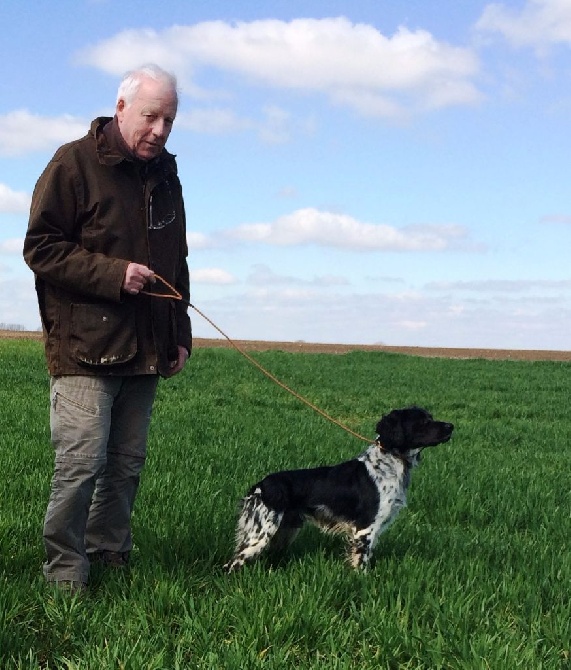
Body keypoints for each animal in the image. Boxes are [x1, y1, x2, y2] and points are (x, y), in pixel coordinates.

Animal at [226, 406, 454, 576]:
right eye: (422, 422)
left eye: (430, 417)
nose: (451, 426)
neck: (390, 462)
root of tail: (260, 485)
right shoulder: (365, 528)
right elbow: (361, 564)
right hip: (261, 533)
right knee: (231, 564)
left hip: (283, 531)